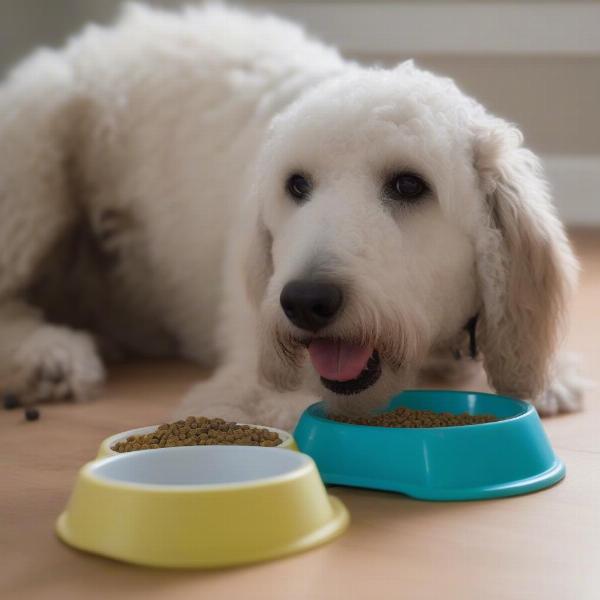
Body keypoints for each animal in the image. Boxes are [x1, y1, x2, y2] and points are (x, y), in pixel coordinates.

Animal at [0, 3, 580, 426]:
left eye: (409, 185)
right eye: (296, 184)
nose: (305, 301)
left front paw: (549, 377)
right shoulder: (247, 381)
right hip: (35, 150)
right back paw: (50, 358)